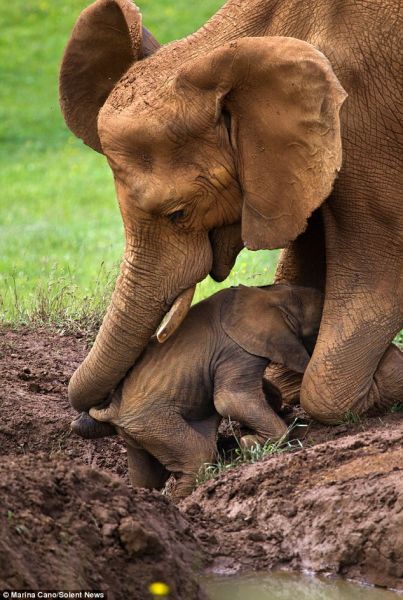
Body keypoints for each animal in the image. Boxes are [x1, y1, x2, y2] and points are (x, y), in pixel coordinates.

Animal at [74, 284, 324, 500]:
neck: (271, 294)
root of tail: (112, 410)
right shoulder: (236, 350)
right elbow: (230, 400)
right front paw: (249, 443)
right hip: (150, 420)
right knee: (199, 457)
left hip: (136, 431)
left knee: (147, 475)